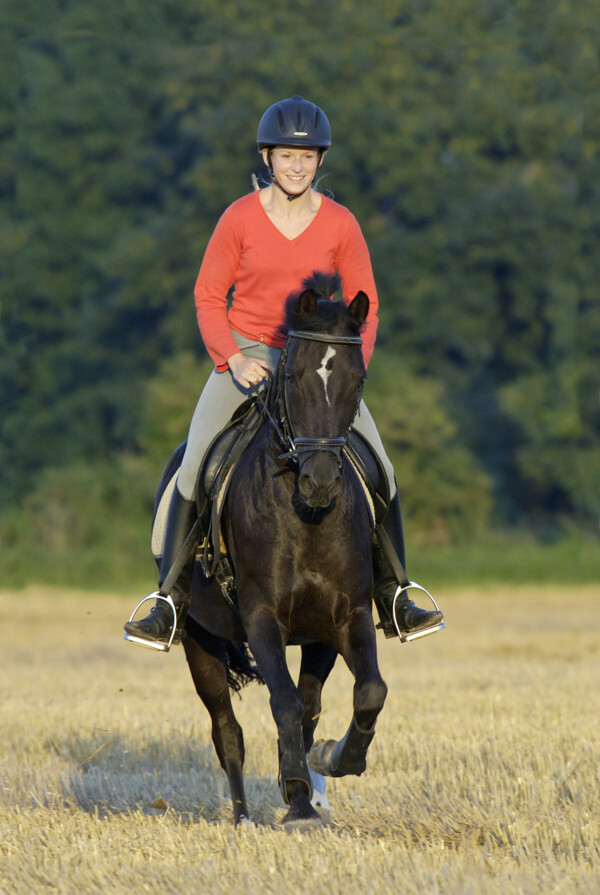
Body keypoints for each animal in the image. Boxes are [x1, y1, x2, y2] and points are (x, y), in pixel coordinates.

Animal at [180, 274, 392, 832]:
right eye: (293, 376)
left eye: (358, 381)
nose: (320, 483)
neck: (307, 519)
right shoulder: (261, 616)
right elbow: (283, 703)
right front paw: (296, 796)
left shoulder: (346, 616)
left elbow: (367, 692)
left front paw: (331, 762)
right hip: (198, 638)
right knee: (226, 729)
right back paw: (242, 818)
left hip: (316, 638)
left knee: (311, 705)